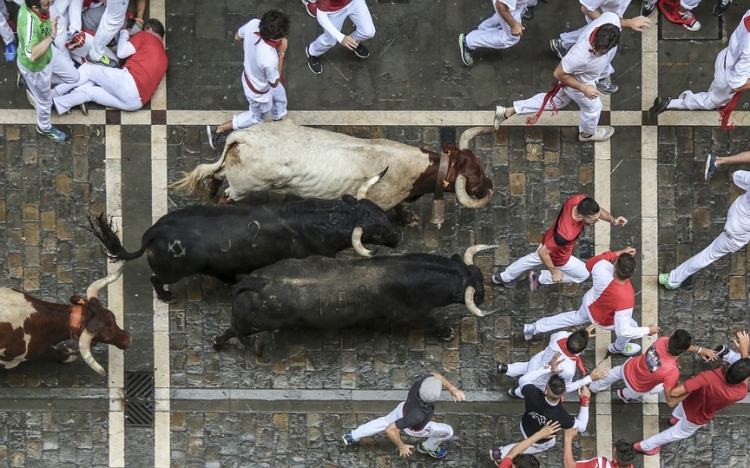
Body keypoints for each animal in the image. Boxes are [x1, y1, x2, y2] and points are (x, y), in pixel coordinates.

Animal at [0, 266, 132, 374]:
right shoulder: (8, 361)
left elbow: (49, 350)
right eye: (105, 337)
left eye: (112, 316)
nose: (128, 339)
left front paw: (65, 355)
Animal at [89, 195, 402, 302]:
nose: (398, 237)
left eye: (381, 213)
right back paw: (167, 297)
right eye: (375, 230)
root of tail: (155, 231)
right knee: (156, 279)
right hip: (171, 272)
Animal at [173, 119, 496, 224]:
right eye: (474, 178)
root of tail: (242, 137)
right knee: (226, 197)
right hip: (243, 188)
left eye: (479, 165)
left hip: (232, 173)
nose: (491, 185)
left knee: (216, 177)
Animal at [212, 249, 496, 354]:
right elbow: (431, 322)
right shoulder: (409, 315)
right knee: (233, 330)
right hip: (253, 323)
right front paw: (447, 332)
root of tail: (256, 281)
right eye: (476, 290)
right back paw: (220, 343)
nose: (484, 294)